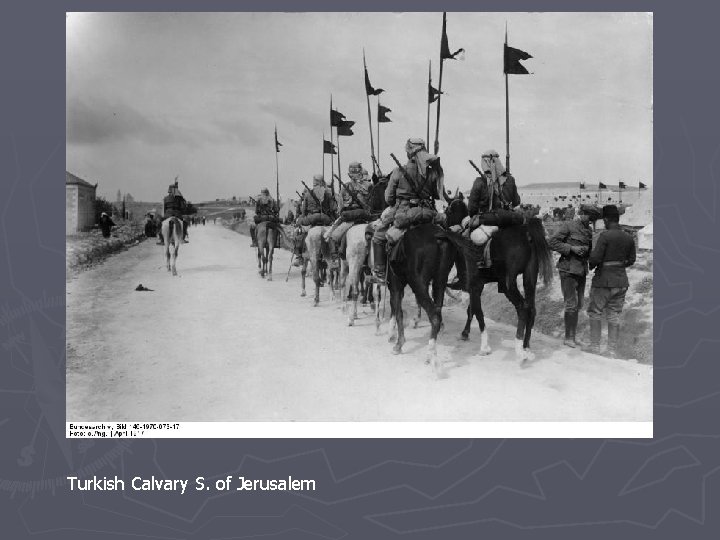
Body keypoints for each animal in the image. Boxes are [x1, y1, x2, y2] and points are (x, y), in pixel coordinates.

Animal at [444, 202, 556, 362]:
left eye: (448, 212)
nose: (445, 225)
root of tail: (527, 234)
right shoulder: (477, 286)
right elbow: (471, 309)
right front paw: (465, 333)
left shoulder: (474, 285)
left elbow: (477, 312)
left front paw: (484, 347)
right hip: (529, 278)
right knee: (532, 308)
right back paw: (526, 346)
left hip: (509, 284)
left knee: (522, 307)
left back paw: (519, 349)